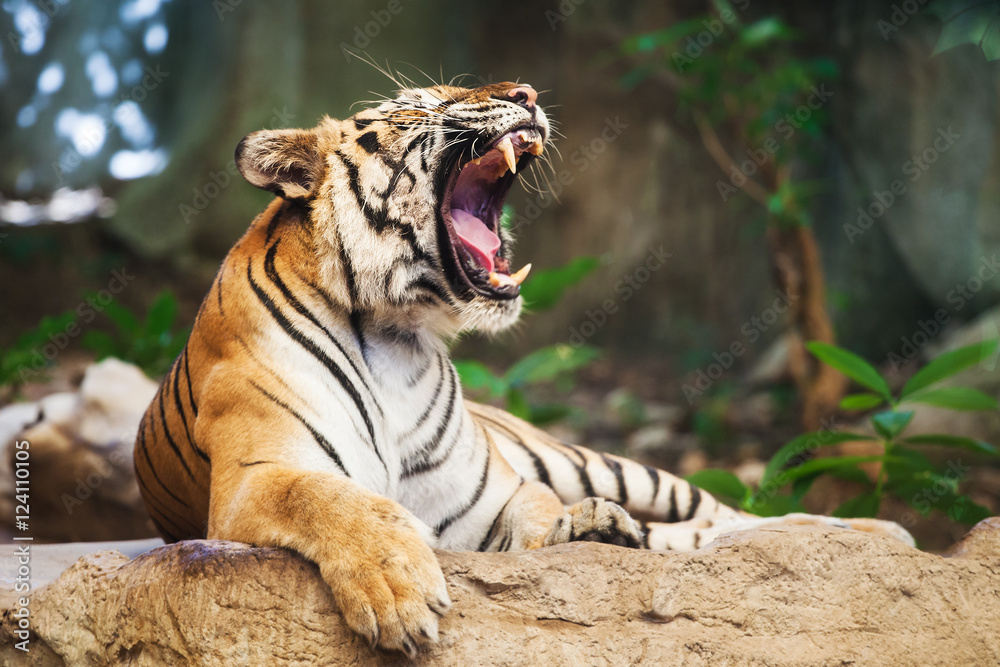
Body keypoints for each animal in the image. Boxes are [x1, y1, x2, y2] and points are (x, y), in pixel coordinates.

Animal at [134, 79, 915, 657]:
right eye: (420, 103)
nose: (527, 90)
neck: (395, 334)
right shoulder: (253, 480)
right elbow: (335, 499)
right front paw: (397, 589)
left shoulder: (493, 495)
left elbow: (536, 518)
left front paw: (580, 531)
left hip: (596, 460)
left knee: (722, 516)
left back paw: (870, 534)